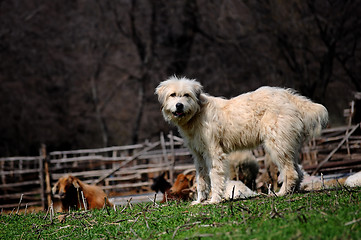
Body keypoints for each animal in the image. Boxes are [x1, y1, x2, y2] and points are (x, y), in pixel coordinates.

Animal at [155, 77, 326, 204]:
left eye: (186, 95)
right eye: (173, 95)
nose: (179, 106)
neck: (197, 113)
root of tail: (288, 95)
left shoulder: (214, 153)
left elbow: (215, 177)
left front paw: (214, 200)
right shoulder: (198, 156)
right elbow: (202, 179)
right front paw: (200, 200)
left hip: (277, 145)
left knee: (290, 172)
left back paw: (282, 193)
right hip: (287, 146)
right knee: (298, 171)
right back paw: (292, 191)